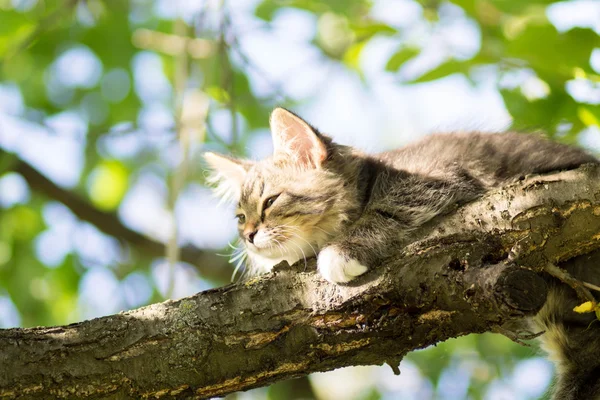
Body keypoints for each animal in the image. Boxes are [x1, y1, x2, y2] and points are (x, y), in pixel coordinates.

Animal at [205, 106, 596, 282]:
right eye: (240, 218)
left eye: (270, 202)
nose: (249, 236)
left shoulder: (437, 178)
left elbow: (382, 212)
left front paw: (340, 252)